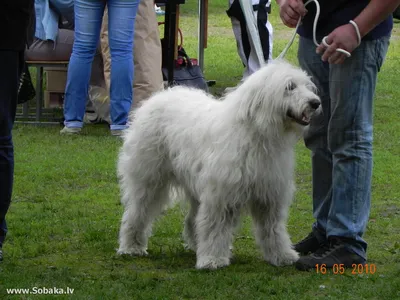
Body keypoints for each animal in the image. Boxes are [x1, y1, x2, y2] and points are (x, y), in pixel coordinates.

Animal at [115, 60, 318, 270]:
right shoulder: (221, 196)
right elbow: (215, 227)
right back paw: (131, 247)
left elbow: (273, 229)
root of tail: (158, 97)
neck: (256, 132)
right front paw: (212, 259)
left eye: (306, 86)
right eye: (289, 87)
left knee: (192, 220)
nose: (315, 103)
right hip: (149, 178)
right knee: (137, 213)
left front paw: (282, 255)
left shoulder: (269, 195)